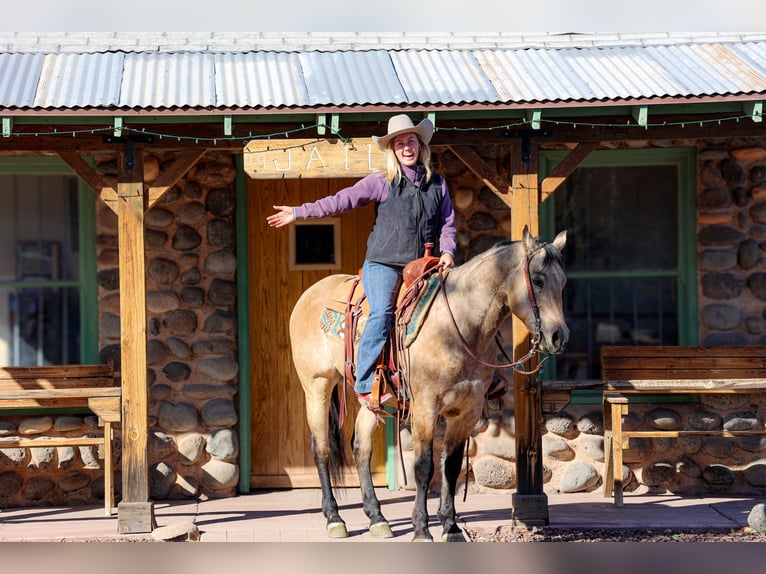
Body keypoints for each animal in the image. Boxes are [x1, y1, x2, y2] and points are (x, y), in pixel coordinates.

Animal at [288, 227, 568, 544]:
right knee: (321, 447)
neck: (458, 326)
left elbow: (452, 466)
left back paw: (377, 518)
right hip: (317, 387)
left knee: (360, 448)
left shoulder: (466, 411)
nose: (559, 337)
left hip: (372, 399)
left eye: (563, 282)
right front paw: (422, 528)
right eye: (538, 280)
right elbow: (424, 466)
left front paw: (450, 525)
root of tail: (311, 292)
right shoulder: (425, 407)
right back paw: (334, 518)